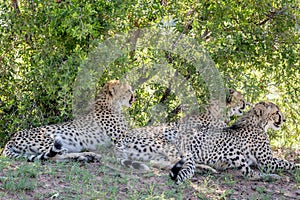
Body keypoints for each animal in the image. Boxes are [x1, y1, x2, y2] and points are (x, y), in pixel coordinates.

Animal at [1, 80, 134, 162]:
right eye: (128, 90)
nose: (134, 96)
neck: (109, 104)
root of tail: (12, 138)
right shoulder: (120, 139)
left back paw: (86, 156)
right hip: (52, 142)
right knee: (55, 156)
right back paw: (87, 156)